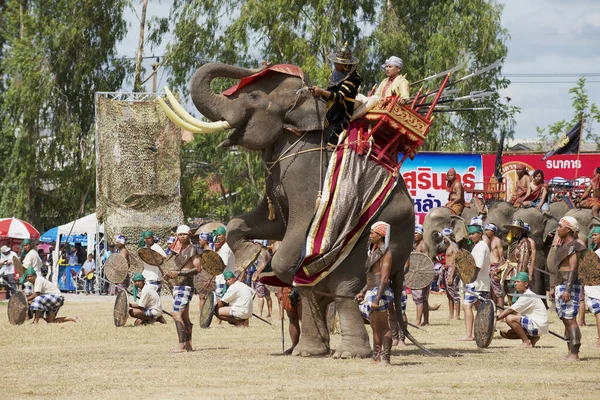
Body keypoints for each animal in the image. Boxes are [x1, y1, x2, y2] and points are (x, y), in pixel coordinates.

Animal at [170, 64, 422, 358]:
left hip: (377, 228)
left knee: (346, 284)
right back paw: (310, 349)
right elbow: (266, 222)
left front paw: (272, 266)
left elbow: (298, 227)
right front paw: (250, 256)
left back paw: (348, 352)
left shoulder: (305, 173)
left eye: (253, 97)